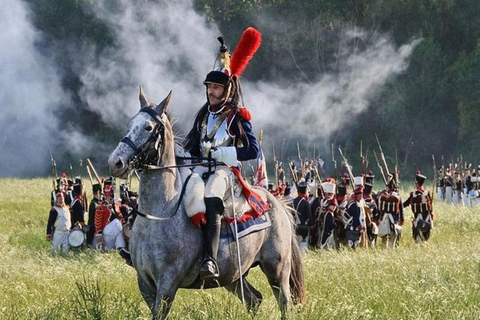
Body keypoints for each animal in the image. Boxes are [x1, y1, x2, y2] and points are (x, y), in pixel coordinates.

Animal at [107, 88, 306, 320]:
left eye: (148, 127)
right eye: (130, 123)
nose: (115, 162)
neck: (160, 213)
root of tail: (275, 202)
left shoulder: (167, 284)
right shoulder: (145, 284)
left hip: (277, 271)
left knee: (284, 302)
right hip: (234, 276)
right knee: (254, 300)